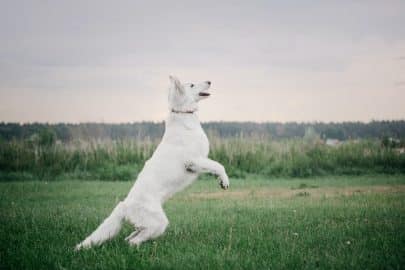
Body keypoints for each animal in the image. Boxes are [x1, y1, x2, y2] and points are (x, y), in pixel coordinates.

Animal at [74, 75, 229, 249]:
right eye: (192, 85)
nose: (209, 81)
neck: (183, 115)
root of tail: (125, 205)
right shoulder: (194, 161)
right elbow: (219, 165)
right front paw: (225, 181)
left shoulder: (198, 164)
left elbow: (214, 167)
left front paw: (220, 180)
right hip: (158, 223)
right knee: (134, 241)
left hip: (148, 224)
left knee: (131, 236)